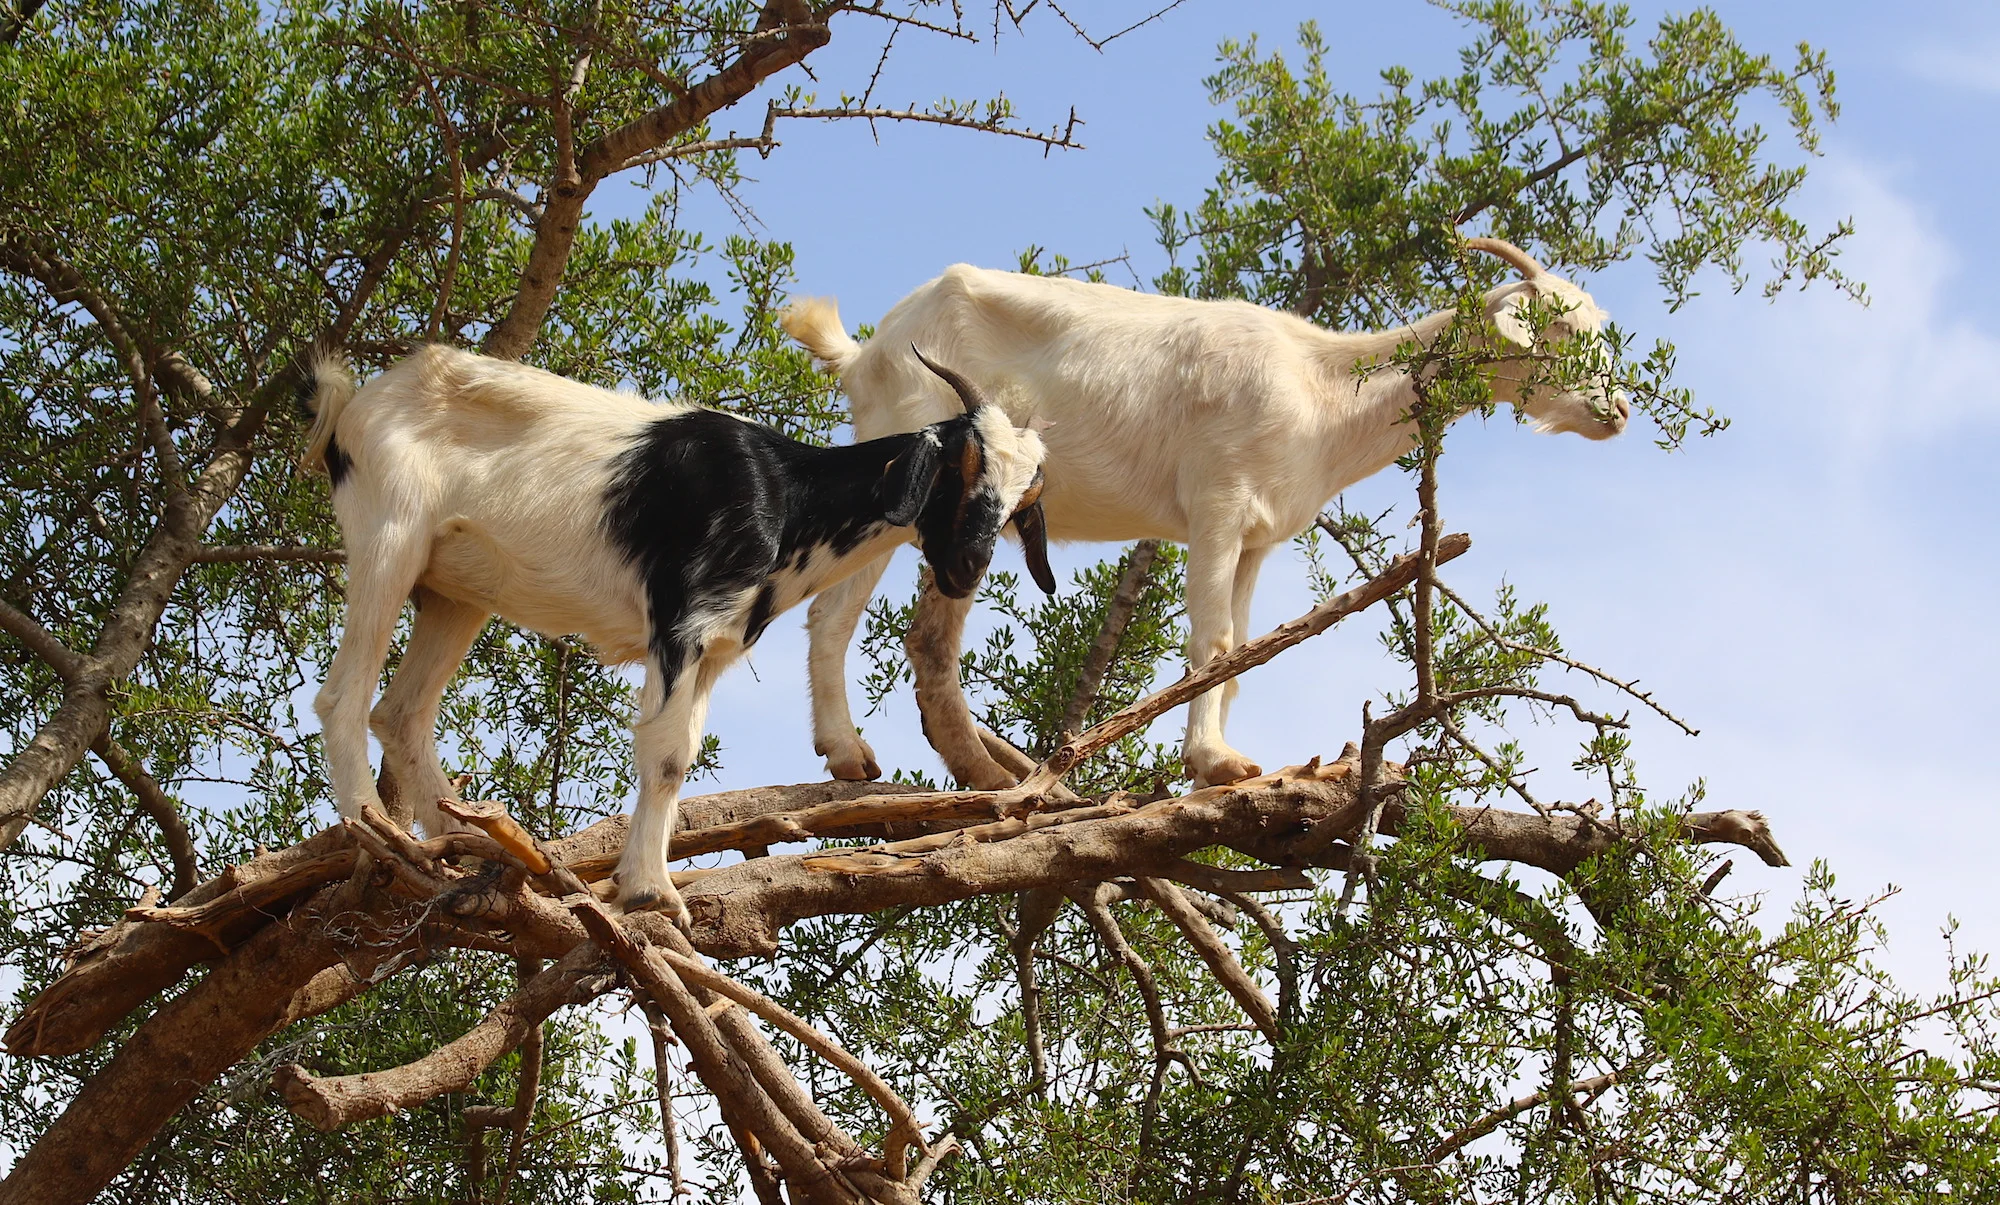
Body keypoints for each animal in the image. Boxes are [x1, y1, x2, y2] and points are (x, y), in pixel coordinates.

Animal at [300, 343, 1050, 923]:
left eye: (1022, 502)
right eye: (959, 466)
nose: (967, 567)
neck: (786, 497)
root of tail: (357, 405)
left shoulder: (716, 649)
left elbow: (682, 754)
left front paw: (645, 879)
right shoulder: (680, 622)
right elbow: (664, 757)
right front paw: (650, 892)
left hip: (455, 593)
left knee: (400, 711)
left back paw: (457, 846)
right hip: (390, 539)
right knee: (343, 696)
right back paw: (376, 828)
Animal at [781, 238, 1629, 791]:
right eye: (1561, 330)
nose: (1618, 410)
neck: (1320, 386)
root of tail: (868, 352)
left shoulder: (1257, 539)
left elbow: (1242, 656)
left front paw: (1221, 757)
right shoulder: (1218, 504)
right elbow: (1214, 642)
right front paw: (1215, 764)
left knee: (922, 637)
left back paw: (976, 771)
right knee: (837, 615)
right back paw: (852, 753)